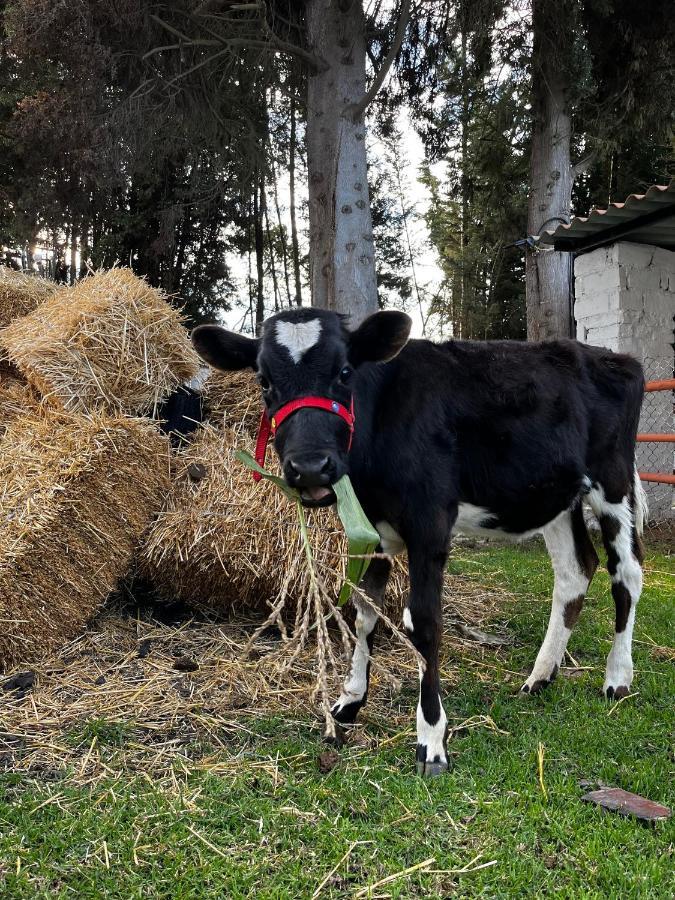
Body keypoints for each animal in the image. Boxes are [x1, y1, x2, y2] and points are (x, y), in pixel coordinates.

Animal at [193, 308, 648, 772]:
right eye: (264, 381)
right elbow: (365, 612)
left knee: (626, 574)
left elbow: (424, 623)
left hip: (612, 481)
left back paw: (617, 677)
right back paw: (540, 675)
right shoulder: (371, 531)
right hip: (555, 494)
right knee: (575, 571)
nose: (310, 467)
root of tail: (611, 356)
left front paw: (431, 737)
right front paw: (350, 701)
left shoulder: (430, 524)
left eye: (344, 372)